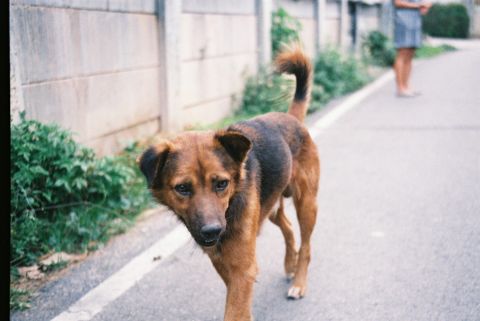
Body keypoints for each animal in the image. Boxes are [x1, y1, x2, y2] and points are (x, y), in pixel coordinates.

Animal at [138, 46, 318, 318]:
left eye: (221, 184)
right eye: (182, 188)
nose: (212, 230)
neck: (231, 202)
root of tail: (292, 119)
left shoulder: (242, 269)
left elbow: (235, 310)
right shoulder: (224, 262)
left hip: (306, 203)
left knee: (306, 246)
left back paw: (299, 282)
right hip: (272, 207)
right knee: (287, 226)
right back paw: (290, 264)